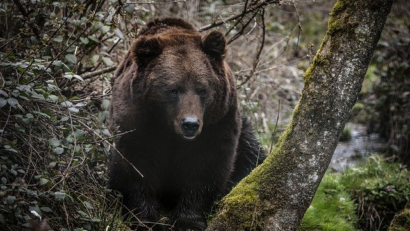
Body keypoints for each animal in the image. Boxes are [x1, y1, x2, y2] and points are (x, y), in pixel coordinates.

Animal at [107, 17, 264, 230]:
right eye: (173, 90)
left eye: (202, 90)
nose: (190, 124)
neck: (168, 128)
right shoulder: (136, 120)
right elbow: (136, 165)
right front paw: (146, 219)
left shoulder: (218, 123)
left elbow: (207, 167)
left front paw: (187, 221)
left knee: (252, 156)